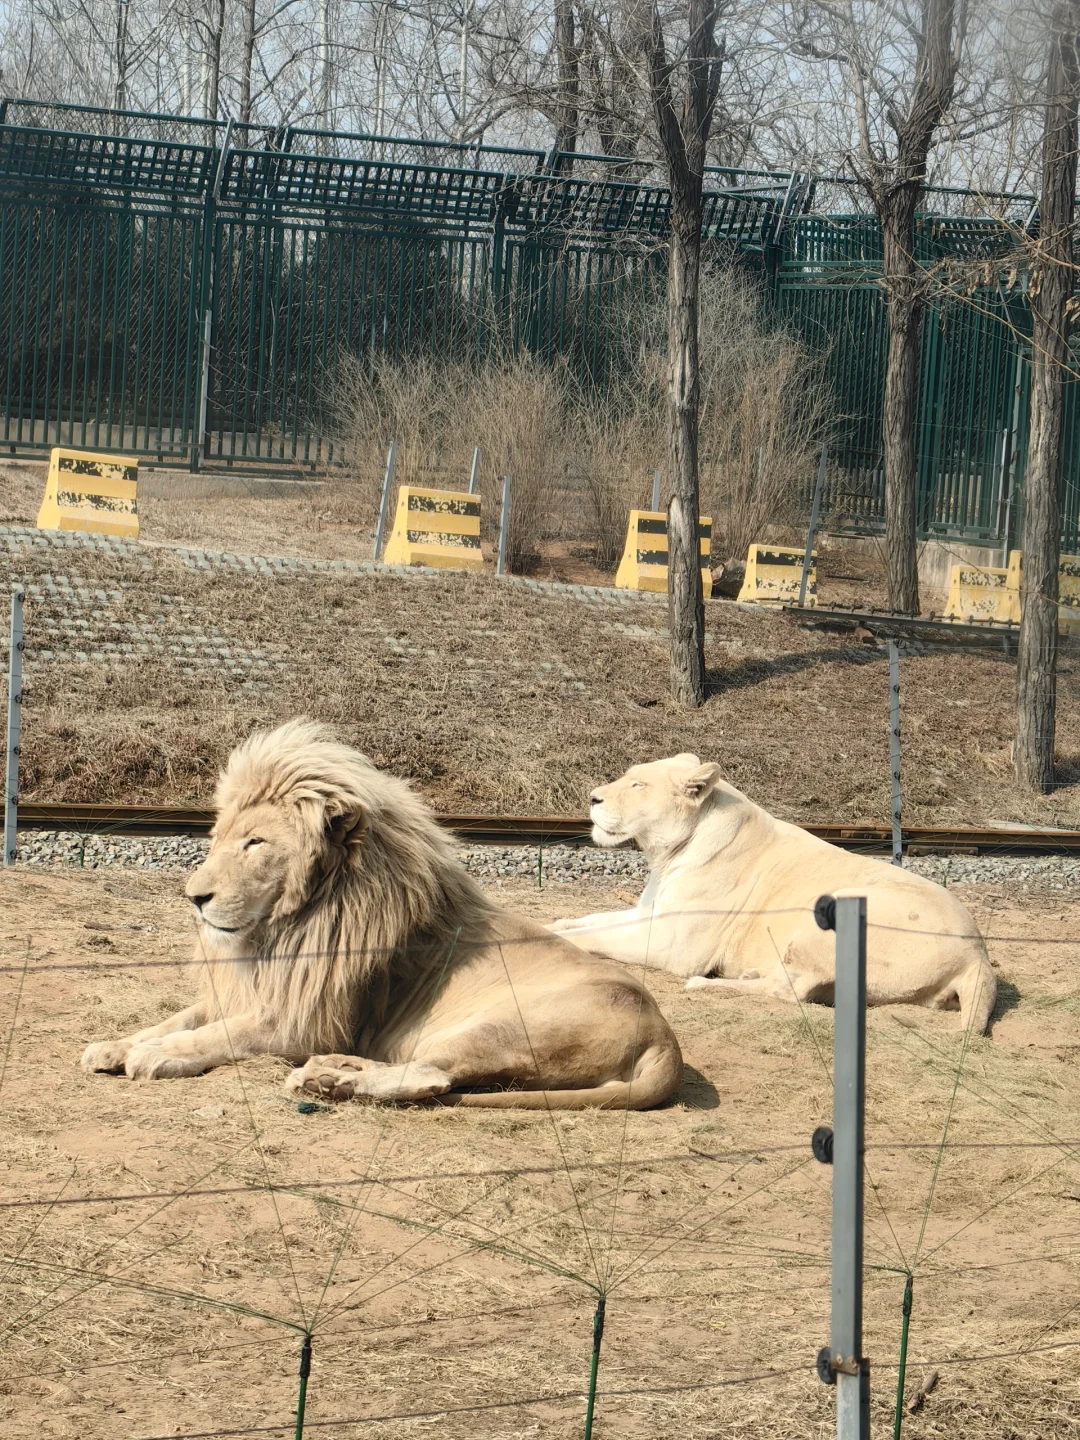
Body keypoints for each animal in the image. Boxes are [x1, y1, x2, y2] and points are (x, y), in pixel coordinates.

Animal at [80, 725, 679, 1105]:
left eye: (254, 843)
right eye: (218, 839)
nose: (193, 897)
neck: (283, 932)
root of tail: (665, 1041)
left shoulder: (305, 1021)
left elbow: (216, 1035)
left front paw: (154, 1055)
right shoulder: (263, 991)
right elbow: (181, 1018)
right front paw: (116, 1044)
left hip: (503, 1026)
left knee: (432, 1078)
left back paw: (329, 1084)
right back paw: (335, 1070)